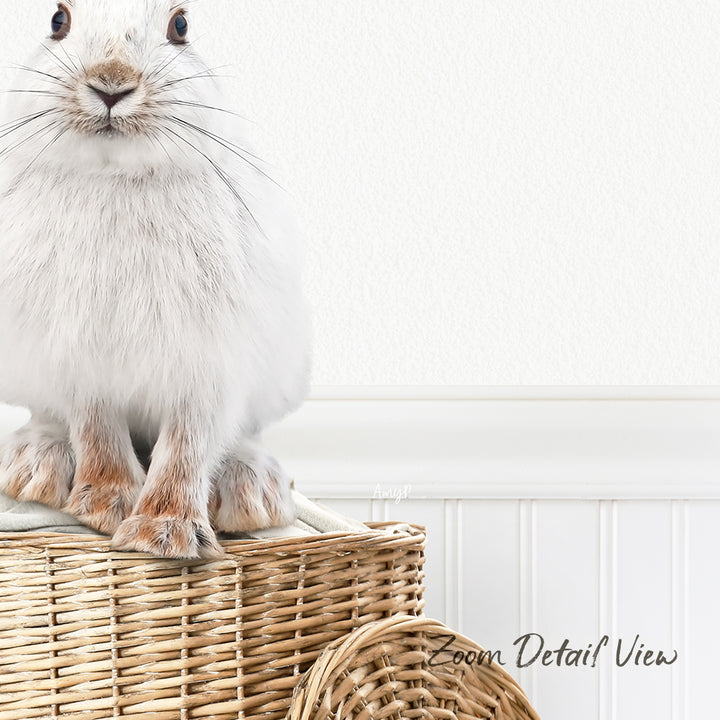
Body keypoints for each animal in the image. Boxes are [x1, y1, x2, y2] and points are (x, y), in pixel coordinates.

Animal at [0, 1, 312, 559]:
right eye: (58, 21)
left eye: (180, 25)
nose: (111, 84)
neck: (115, 176)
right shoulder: (81, 355)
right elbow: (97, 428)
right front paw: (108, 507)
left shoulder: (208, 361)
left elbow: (187, 445)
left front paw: (163, 534)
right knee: (48, 416)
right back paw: (36, 466)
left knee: (243, 435)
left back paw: (252, 493)